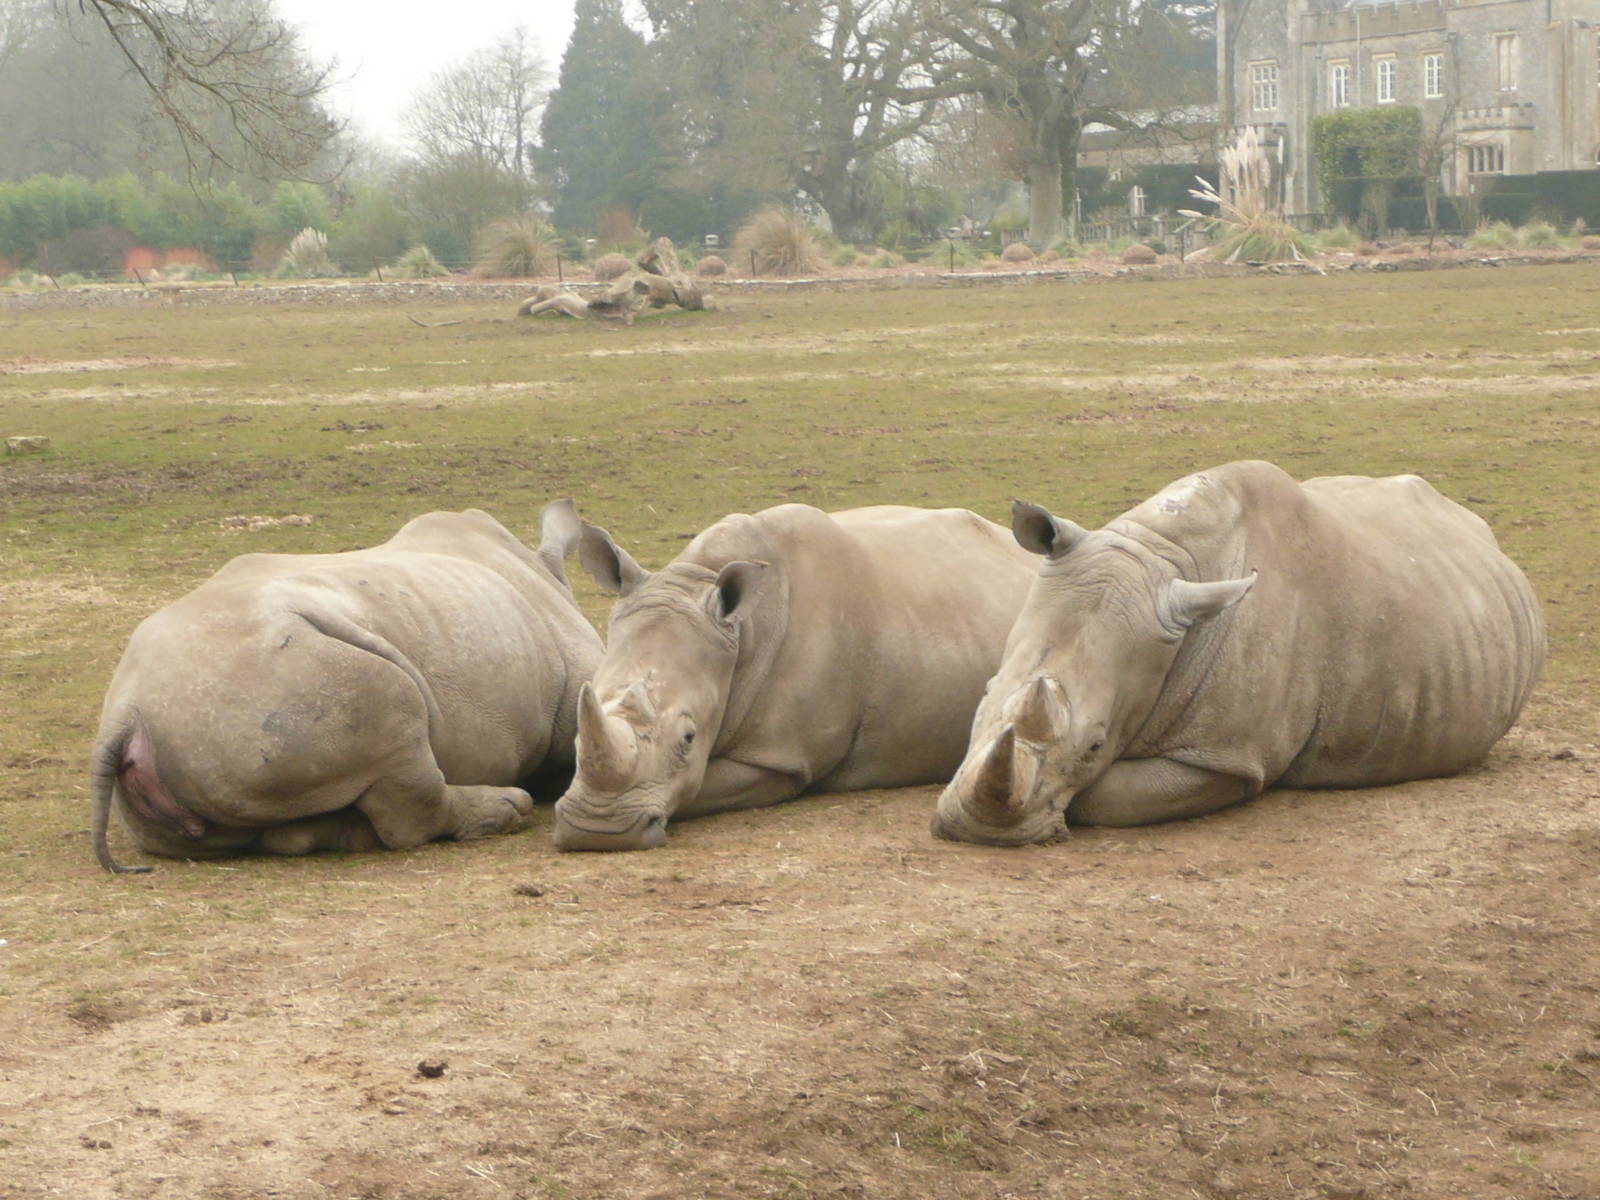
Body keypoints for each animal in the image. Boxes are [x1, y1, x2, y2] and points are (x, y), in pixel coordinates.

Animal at [932, 461, 1546, 846]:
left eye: (1096, 745)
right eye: (984, 695)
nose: (977, 831)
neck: (1162, 556)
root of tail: (1478, 529)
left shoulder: (1228, 755)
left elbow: (1101, 798)